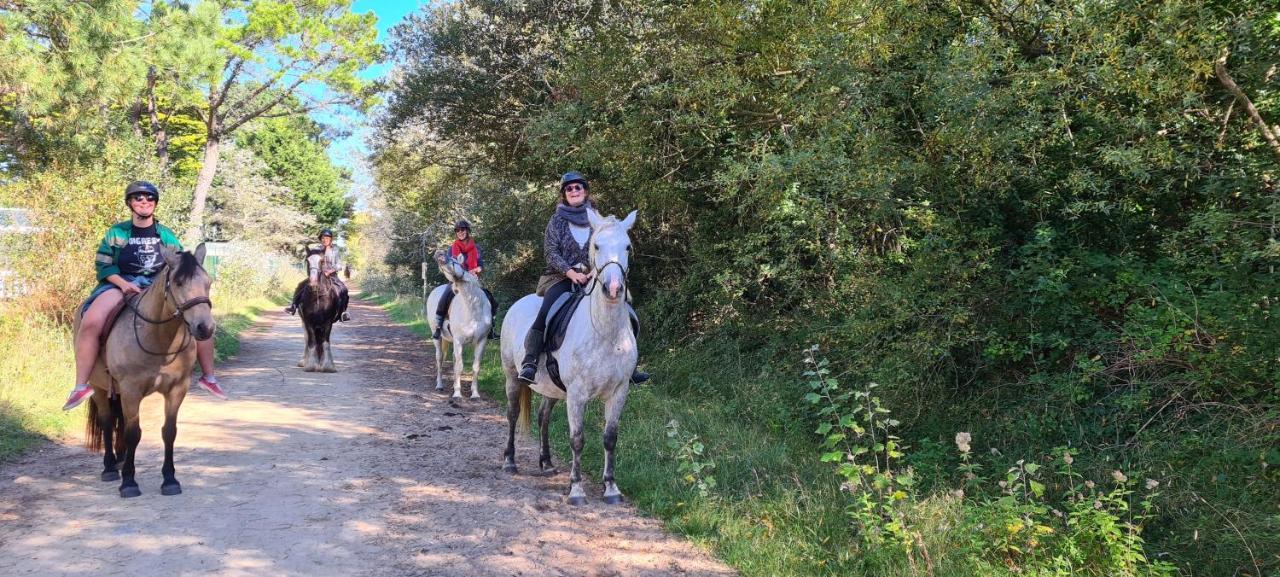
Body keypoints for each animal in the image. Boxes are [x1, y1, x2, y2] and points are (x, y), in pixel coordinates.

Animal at [81, 243, 215, 496]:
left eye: (208, 282)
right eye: (178, 282)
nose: (205, 328)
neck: (159, 339)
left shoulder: (177, 389)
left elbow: (169, 432)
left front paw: (170, 479)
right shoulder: (131, 390)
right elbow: (133, 434)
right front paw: (129, 482)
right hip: (99, 387)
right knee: (107, 422)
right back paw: (110, 467)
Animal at [427, 250, 491, 399]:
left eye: (454, 260)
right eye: (441, 268)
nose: (438, 254)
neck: (473, 309)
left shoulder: (481, 340)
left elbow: (475, 367)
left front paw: (475, 394)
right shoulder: (458, 340)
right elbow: (459, 366)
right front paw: (457, 393)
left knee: (453, 358)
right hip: (438, 337)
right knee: (440, 358)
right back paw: (440, 385)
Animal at [499, 207, 640, 506]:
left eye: (627, 247)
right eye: (596, 246)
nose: (613, 289)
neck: (605, 333)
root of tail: (519, 303)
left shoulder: (619, 391)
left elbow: (610, 437)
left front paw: (611, 487)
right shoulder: (577, 394)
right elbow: (577, 439)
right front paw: (576, 489)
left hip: (552, 388)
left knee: (543, 417)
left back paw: (546, 463)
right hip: (512, 376)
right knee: (513, 413)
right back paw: (509, 461)